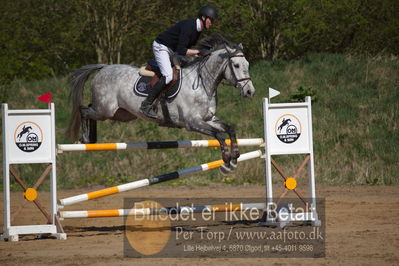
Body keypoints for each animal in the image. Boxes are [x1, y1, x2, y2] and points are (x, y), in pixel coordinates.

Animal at [67, 33, 256, 174]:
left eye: (247, 64)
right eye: (236, 65)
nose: (250, 92)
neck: (202, 82)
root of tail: (103, 68)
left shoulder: (209, 119)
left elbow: (229, 129)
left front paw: (235, 155)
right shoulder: (192, 122)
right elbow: (219, 135)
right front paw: (226, 158)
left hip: (120, 114)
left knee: (90, 109)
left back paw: (92, 140)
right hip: (106, 109)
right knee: (84, 110)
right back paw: (85, 139)